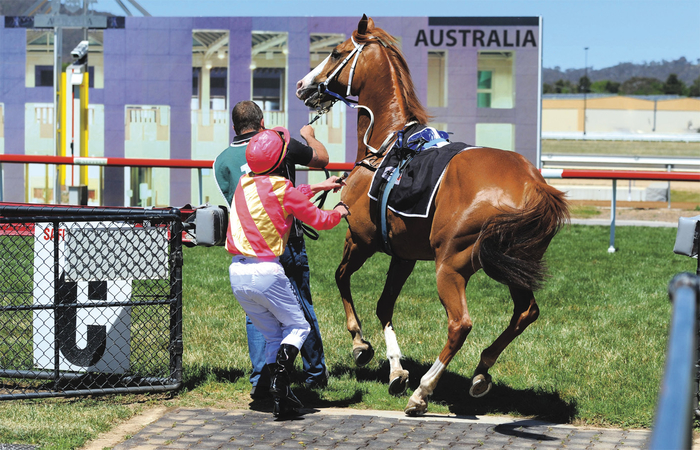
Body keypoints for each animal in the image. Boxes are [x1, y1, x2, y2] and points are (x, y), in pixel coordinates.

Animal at [296, 15, 569, 416]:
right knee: (525, 312)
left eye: (335, 52)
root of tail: (532, 184)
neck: (386, 144)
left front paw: (361, 345)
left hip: (451, 267)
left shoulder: (359, 239)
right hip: (510, 267)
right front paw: (396, 369)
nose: (303, 86)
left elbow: (341, 278)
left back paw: (424, 392)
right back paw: (481, 372)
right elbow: (384, 304)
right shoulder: (403, 255)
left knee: (461, 324)